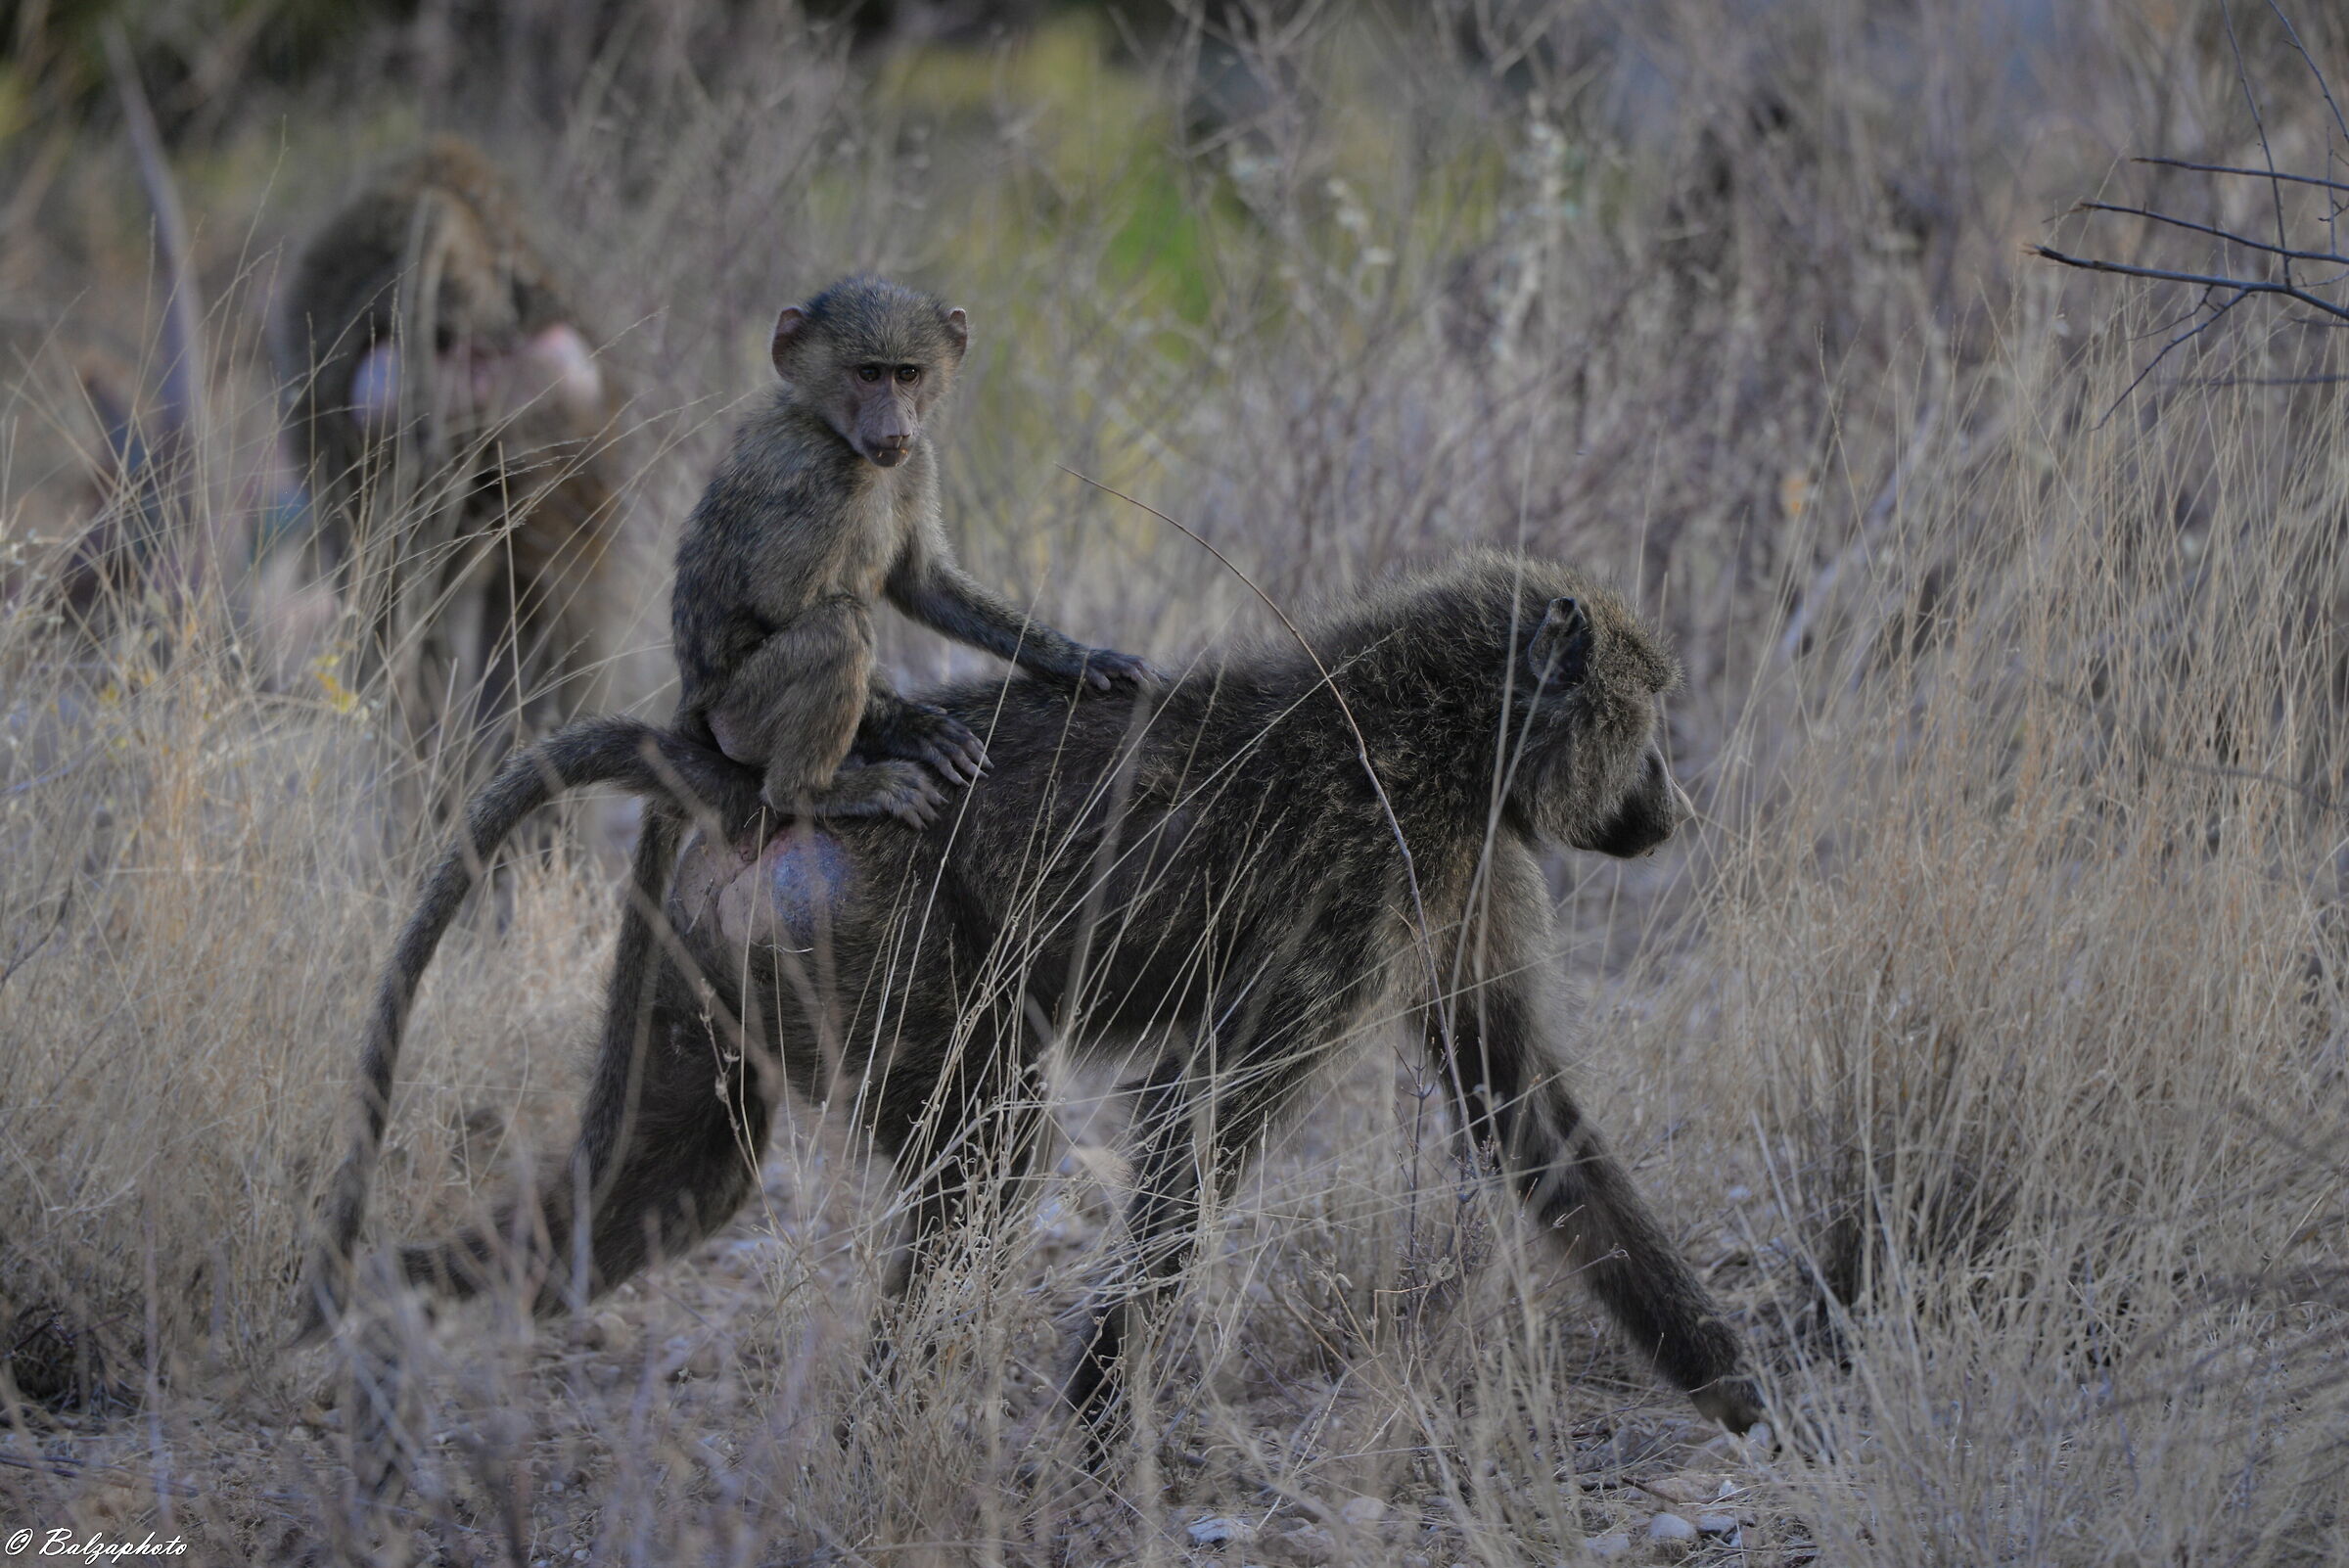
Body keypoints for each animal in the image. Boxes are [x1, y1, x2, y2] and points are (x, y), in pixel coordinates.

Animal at [332, 552, 1765, 1443]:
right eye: (1646, 719)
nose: (1674, 811)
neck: (1447, 727)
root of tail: (733, 778)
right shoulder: (1353, 888)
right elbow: (1199, 1122)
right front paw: (1093, 1420)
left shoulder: (1460, 888)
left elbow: (1523, 1113)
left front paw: (1738, 1390)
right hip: (868, 932)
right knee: (986, 1154)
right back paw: (874, 1440)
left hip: (709, 966)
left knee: (662, 1185)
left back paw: (386, 1330)